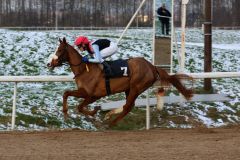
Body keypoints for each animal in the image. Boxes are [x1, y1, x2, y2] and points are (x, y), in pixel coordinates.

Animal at [47, 37, 193, 126]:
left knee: (128, 106)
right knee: (128, 106)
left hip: (135, 88)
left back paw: (110, 123)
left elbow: (80, 107)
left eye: (60, 50)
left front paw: (94, 112)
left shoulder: (93, 95)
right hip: (130, 89)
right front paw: (65, 112)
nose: (49, 63)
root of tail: (152, 67)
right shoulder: (84, 92)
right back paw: (109, 117)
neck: (84, 69)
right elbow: (66, 93)